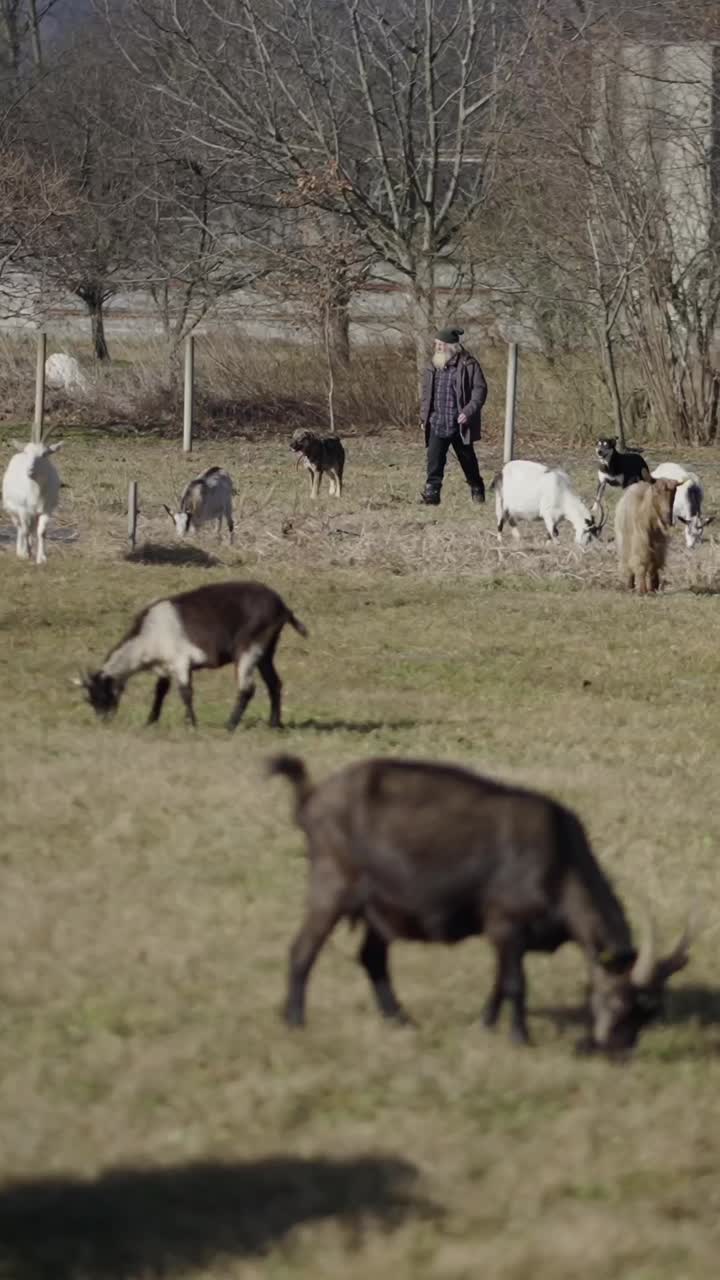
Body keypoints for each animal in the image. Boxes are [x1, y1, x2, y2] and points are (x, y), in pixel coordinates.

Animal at [74, 581, 307, 731]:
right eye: (90, 698)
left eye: (102, 695)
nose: (104, 721)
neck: (148, 636)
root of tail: (283, 607)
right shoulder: (165, 666)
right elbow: (160, 691)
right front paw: (151, 722)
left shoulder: (181, 662)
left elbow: (186, 692)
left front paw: (192, 724)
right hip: (267, 651)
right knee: (274, 683)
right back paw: (274, 724)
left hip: (250, 647)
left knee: (247, 689)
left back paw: (230, 725)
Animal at [269, 754, 692, 1057]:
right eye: (619, 1000)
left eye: (649, 1012)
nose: (617, 1051)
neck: (560, 860)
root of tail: (311, 799)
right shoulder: (506, 923)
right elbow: (515, 984)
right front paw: (520, 1038)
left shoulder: (506, 936)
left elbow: (498, 982)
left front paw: (486, 1026)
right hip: (332, 886)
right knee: (302, 950)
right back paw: (295, 1022)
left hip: (380, 908)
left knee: (372, 958)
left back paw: (401, 1020)